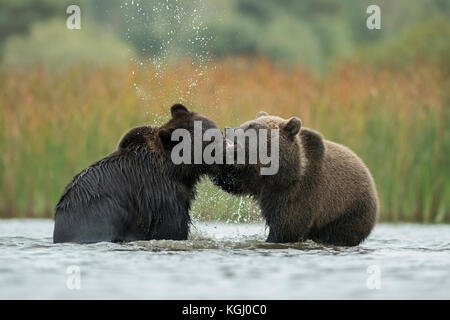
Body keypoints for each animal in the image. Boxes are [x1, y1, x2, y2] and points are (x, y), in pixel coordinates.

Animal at [209, 111, 378, 246]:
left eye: (252, 127)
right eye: (243, 124)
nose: (229, 130)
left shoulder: (300, 191)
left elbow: (288, 225)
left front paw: (272, 239)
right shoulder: (256, 179)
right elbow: (233, 181)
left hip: (347, 211)